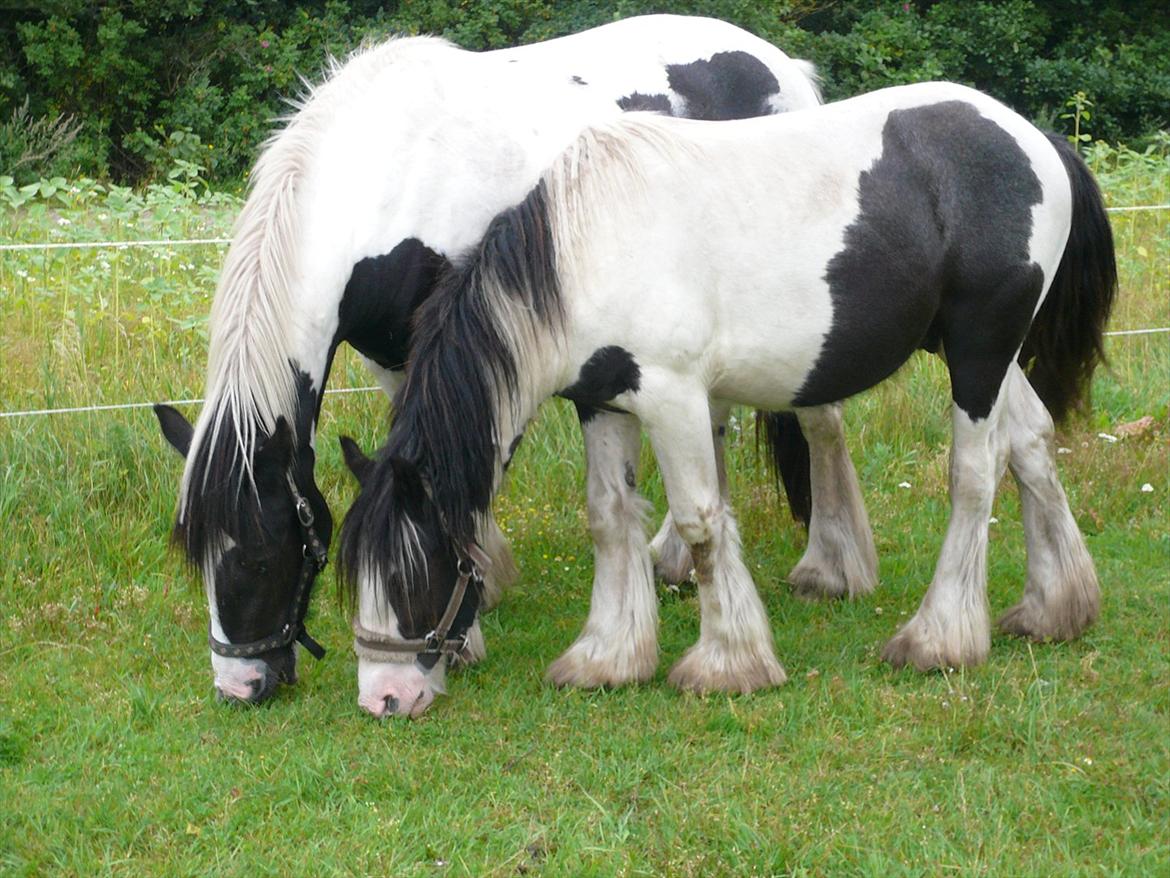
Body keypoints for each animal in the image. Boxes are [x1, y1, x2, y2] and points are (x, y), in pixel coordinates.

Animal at [153, 18, 861, 707]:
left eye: (258, 557)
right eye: (198, 556)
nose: (240, 686)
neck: (393, 173)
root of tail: (784, 67)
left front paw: (462, 632)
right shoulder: (396, 359)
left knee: (814, 425)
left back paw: (826, 567)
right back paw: (676, 563)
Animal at [341, 80, 1113, 716]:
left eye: (414, 573)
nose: (385, 698)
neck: (585, 251)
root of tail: (1036, 141)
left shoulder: (674, 397)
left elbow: (700, 522)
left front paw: (727, 664)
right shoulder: (604, 402)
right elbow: (609, 517)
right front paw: (607, 657)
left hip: (980, 351)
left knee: (975, 475)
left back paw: (939, 638)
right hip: (982, 353)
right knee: (1032, 443)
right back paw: (1054, 610)